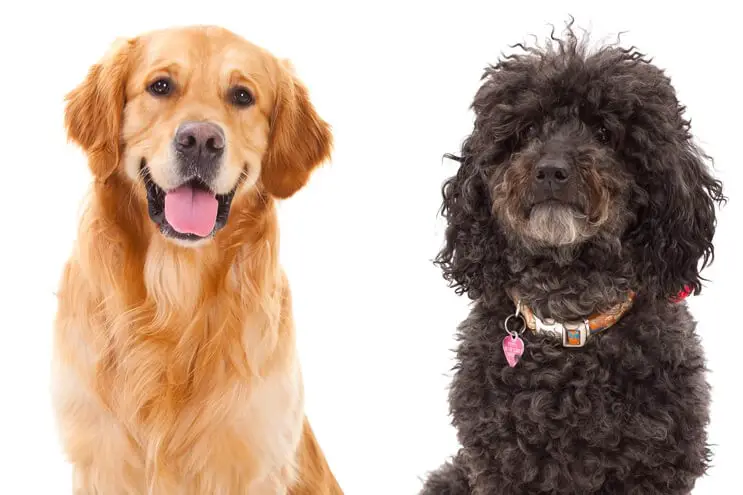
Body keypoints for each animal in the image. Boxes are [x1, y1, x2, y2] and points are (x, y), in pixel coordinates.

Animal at [424, 26, 728, 495]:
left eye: (603, 132)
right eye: (528, 129)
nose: (551, 170)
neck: (570, 319)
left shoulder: (656, 466)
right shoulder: (500, 465)